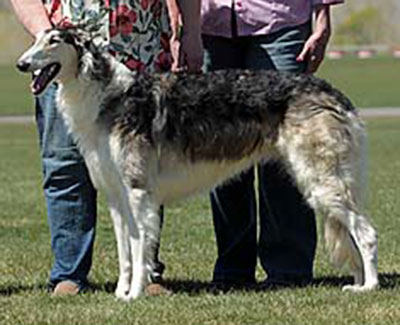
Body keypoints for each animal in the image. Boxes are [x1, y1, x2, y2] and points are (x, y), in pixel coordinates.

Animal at [16, 26, 378, 302]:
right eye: (36, 38)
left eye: (54, 40)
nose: (21, 64)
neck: (109, 95)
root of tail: (337, 97)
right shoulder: (116, 197)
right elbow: (125, 252)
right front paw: (121, 293)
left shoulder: (138, 192)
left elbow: (140, 248)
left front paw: (135, 295)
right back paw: (358, 282)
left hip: (322, 181)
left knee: (367, 233)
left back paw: (370, 286)